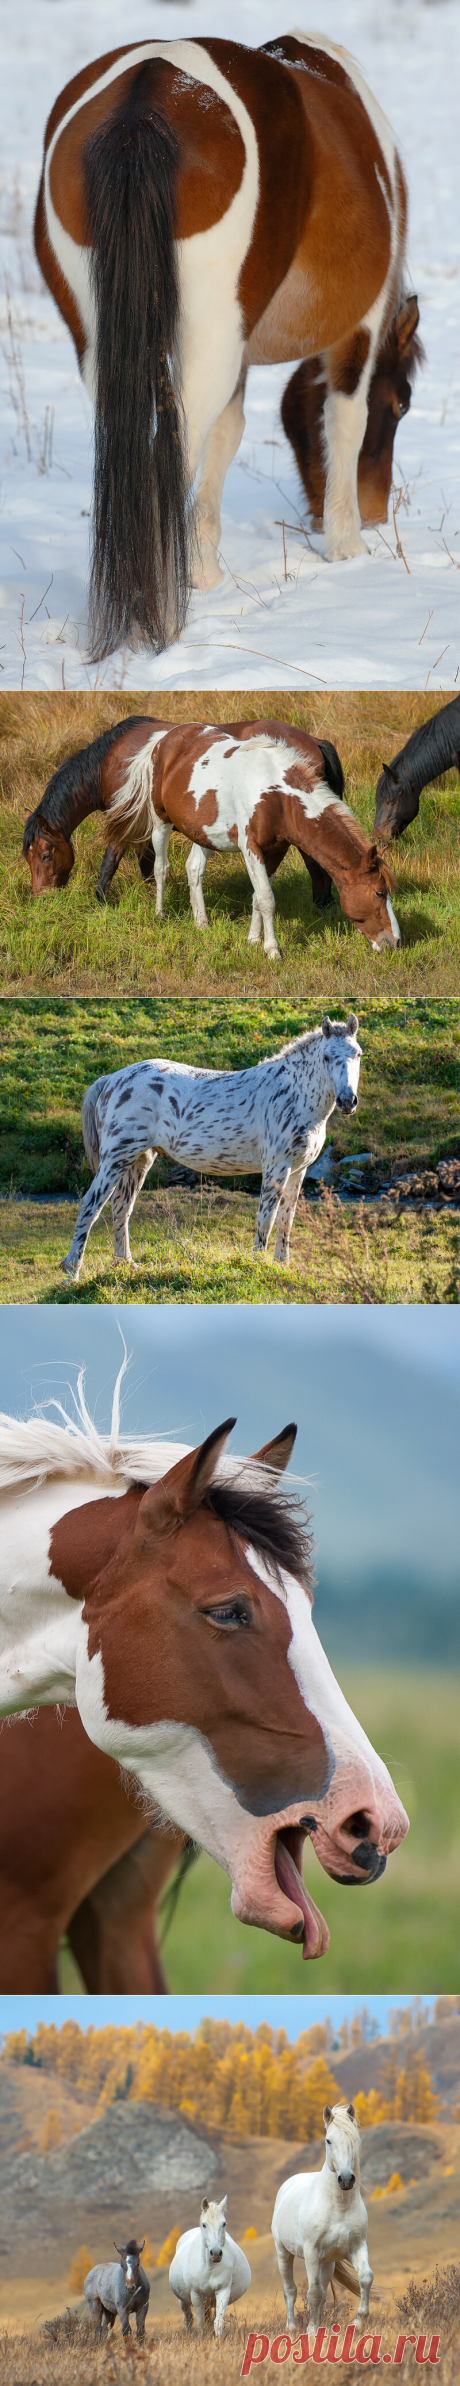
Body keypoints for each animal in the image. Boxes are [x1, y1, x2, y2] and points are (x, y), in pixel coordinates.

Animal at [22, 714, 400, 957]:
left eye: (44, 855)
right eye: (380, 893)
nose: (395, 942)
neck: (276, 794)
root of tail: (165, 741)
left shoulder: (273, 848)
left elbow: (259, 896)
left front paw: (254, 942)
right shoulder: (249, 846)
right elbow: (265, 898)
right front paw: (272, 950)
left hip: (198, 831)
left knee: (192, 869)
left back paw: (202, 923)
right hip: (162, 822)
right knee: (164, 868)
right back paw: (162, 915)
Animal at [34, 33, 418, 656]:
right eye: (403, 403)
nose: (377, 512)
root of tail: (145, 99)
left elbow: (226, 435)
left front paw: (203, 570)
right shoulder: (358, 328)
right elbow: (344, 417)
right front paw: (346, 545)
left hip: (105, 347)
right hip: (208, 341)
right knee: (169, 453)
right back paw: (161, 614)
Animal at [61, 1015, 363, 1281]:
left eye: (358, 1054)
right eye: (326, 1057)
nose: (348, 1101)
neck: (293, 1094)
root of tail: (110, 1080)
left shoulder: (298, 1170)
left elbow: (286, 1219)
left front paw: (282, 1265)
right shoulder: (276, 1167)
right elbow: (266, 1218)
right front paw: (258, 1265)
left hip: (139, 1159)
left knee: (121, 1207)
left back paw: (125, 1265)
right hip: (116, 1158)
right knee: (91, 1205)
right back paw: (71, 1274)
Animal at [170, 2199, 251, 2338]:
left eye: (224, 2223)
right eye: (204, 2225)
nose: (216, 2253)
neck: (209, 2268)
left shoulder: (223, 2291)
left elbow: (218, 2323)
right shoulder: (196, 2296)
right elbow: (201, 2325)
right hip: (184, 2301)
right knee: (188, 2319)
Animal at [272, 2105, 372, 2332]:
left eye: (354, 2139)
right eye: (328, 2140)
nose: (346, 2179)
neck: (338, 2207)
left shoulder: (357, 2246)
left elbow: (365, 2278)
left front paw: (359, 2322)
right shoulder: (311, 2252)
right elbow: (313, 2292)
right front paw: (310, 2330)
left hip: (328, 2262)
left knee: (324, 2291)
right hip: (284, 2253)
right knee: (290, 2289)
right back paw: (291, 2327)